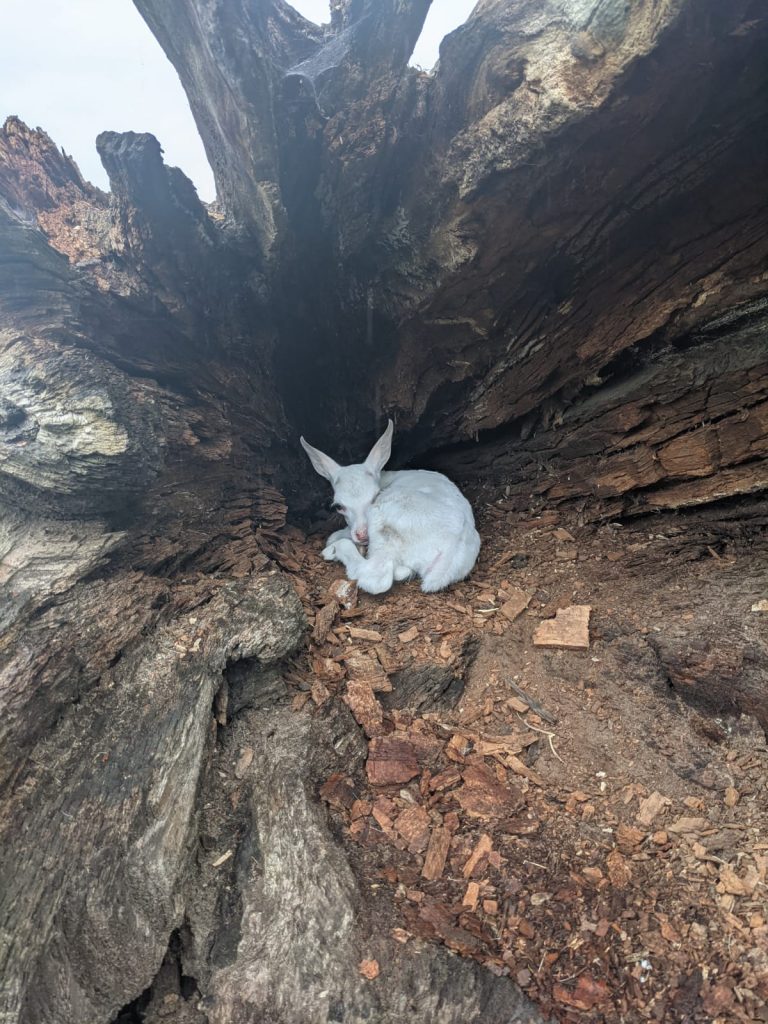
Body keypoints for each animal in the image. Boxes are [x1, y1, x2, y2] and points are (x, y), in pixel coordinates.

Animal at [301, 419, 481, 598]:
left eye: (375, 495)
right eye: (339, 506)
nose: (363, 535)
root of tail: (450, 554)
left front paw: (336, 539)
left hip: (387, 523)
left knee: (376, 578)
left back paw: (334, 550)